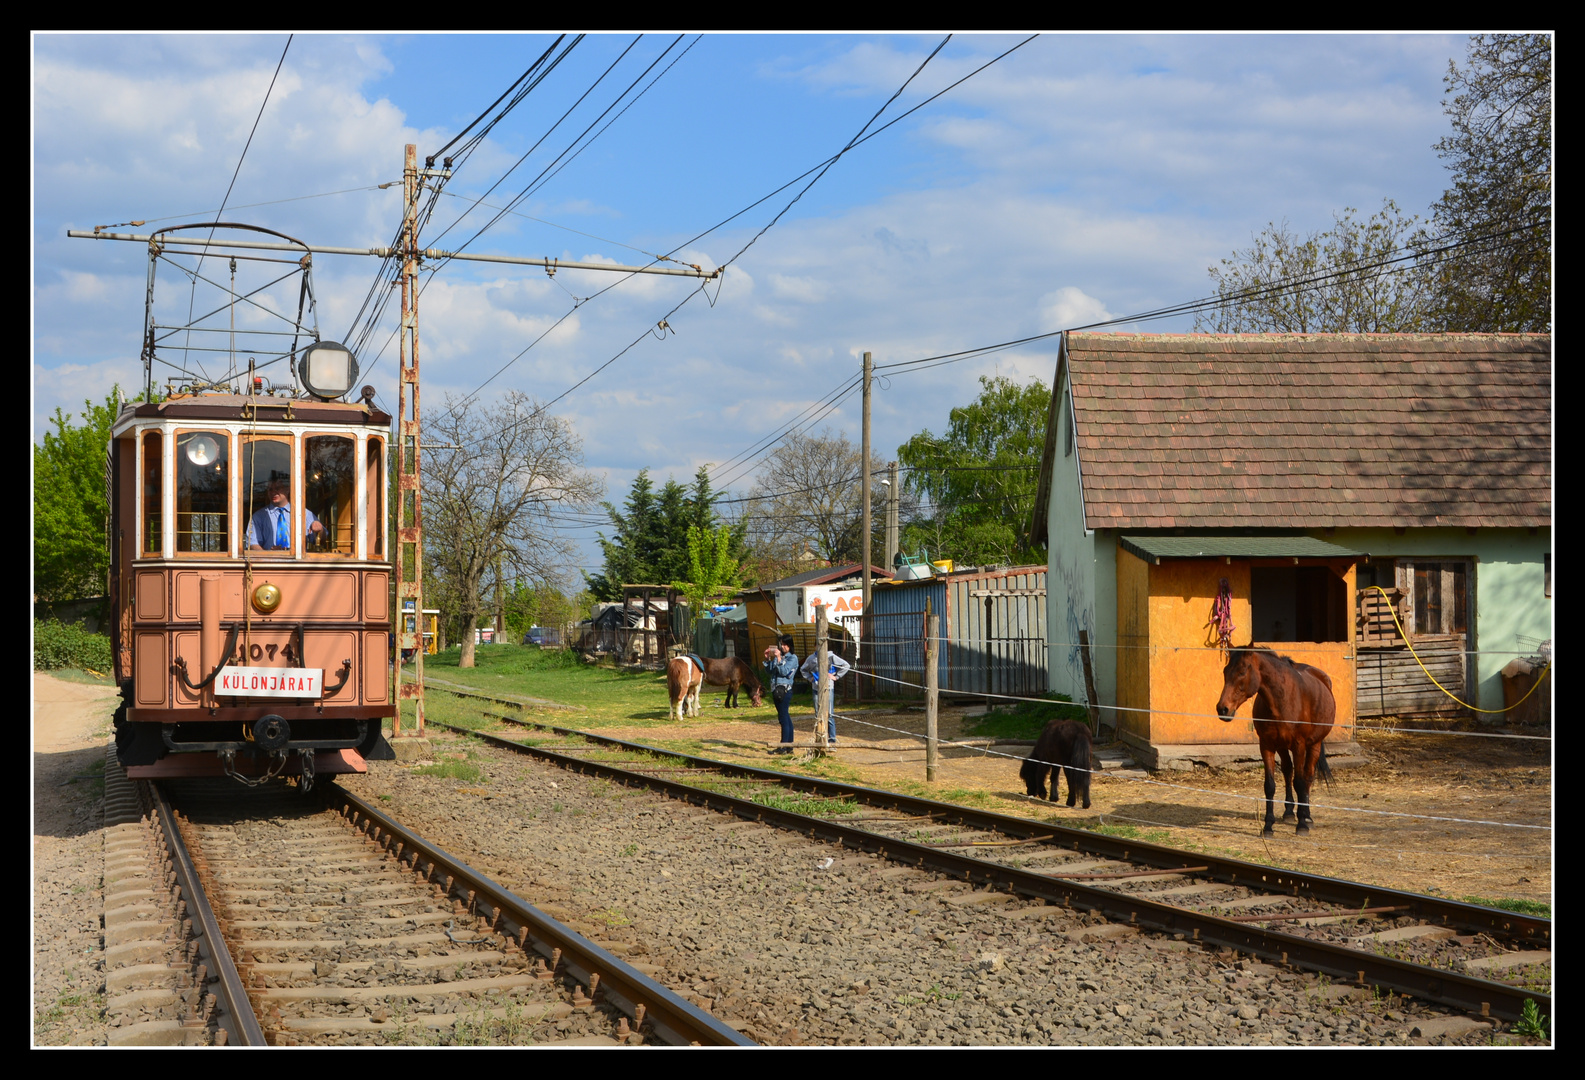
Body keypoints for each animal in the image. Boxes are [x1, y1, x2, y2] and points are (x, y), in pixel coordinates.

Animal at [1210, 650, 1337, 831]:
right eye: (1225, 671)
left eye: (1242, 672)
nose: (1222, 709)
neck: (1282, 700)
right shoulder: (1267, 745)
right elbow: (1270, 786)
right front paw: (1268, 825)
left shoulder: (1299, 746)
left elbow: (1300, 782)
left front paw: (1302, 824)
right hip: (1283, 746)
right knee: (1287, 770)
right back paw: (1289, 812)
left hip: (1314, 744)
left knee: (1308, 776)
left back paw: (1307, 815)